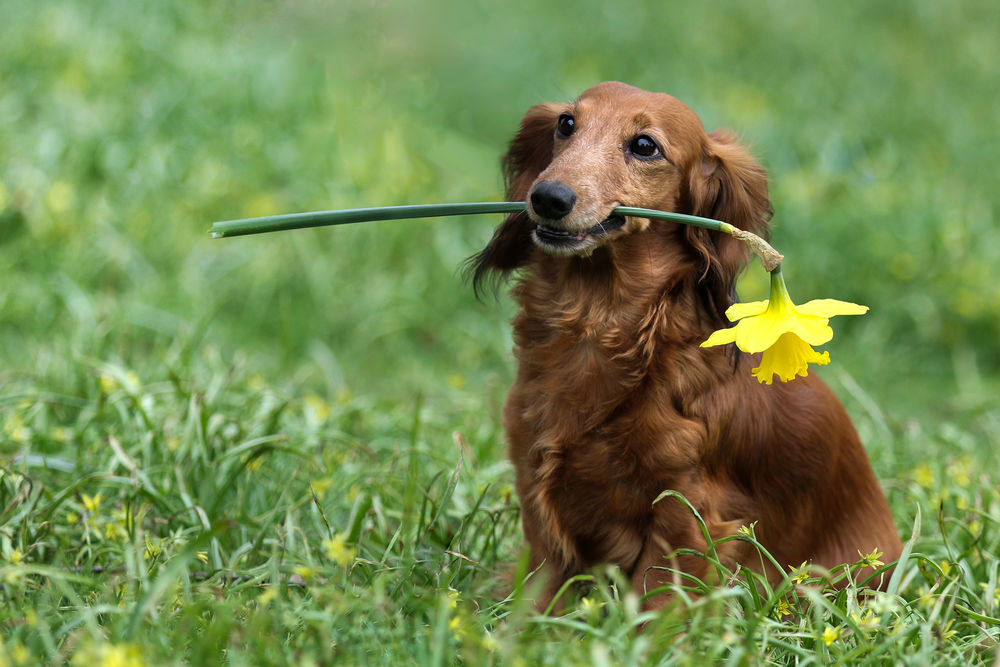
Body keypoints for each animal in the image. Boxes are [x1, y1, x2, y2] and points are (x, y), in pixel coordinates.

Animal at [466, 81, 900, 608]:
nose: (548, 197)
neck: (597, 325)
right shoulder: (536, 492)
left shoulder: (687, 512)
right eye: (566, 124)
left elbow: (654, 602)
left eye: (644, 145)